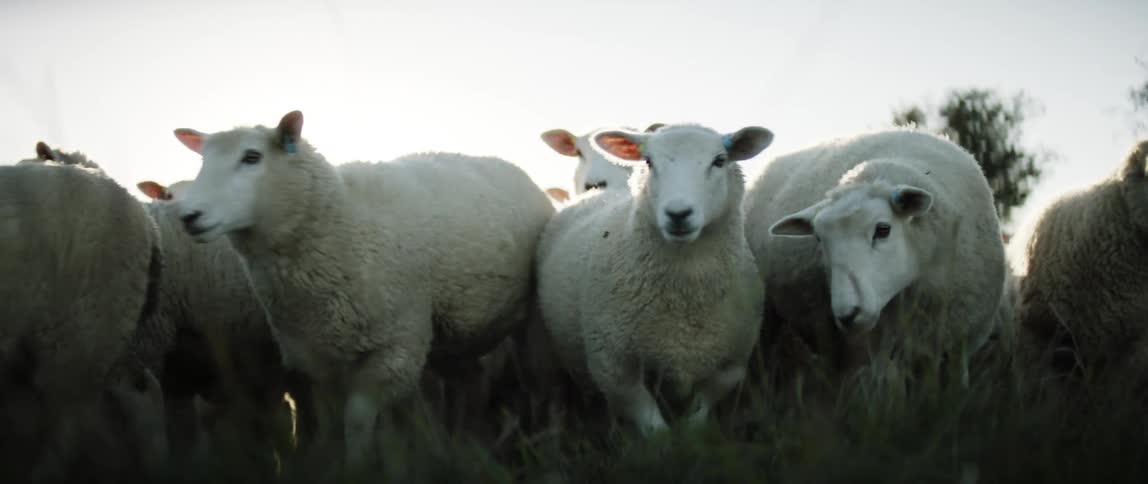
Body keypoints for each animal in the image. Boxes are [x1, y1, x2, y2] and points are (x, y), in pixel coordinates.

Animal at [169, 110, 556, 469]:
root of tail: (505, 163)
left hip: (523, 328)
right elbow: (331, 423)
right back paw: (464, 443)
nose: (189, 216)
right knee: (471, 383)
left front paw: (358, 467)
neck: (343, 222)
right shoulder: (315, 356)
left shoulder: (395, 347)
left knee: (531, 385)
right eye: (203, 160)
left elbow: (356, 420)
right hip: (453, 335)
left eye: (252, 156)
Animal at [534, 123, 774, 435]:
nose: (678, 213)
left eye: (719, 160)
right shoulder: (614, 367)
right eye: (648, 162)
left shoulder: (731, 365)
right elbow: (654, 430)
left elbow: (698, 418)